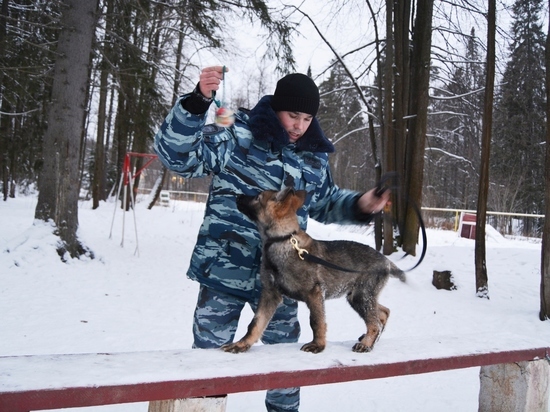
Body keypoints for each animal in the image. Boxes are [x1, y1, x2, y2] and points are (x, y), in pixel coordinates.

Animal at [222, 187, 408, 354]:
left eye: (257, 197)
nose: (237, 196)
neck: (282, 240)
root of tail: (386, 260)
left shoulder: (315, 294)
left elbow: (316, 321)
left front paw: (318, 345)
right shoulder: (270, 294)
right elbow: (256, 323)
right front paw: (242, 344)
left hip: (361, 296)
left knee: (374, 322)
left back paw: (366, 344)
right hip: (358, 296)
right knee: (382, 313)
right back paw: (370, 339)